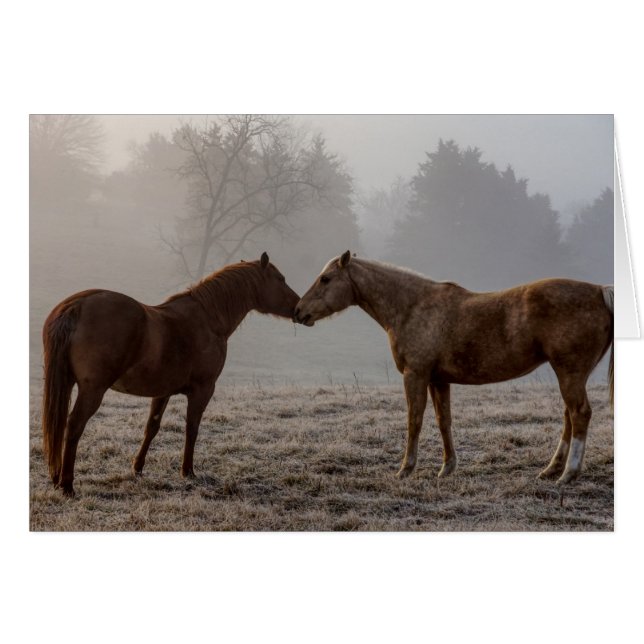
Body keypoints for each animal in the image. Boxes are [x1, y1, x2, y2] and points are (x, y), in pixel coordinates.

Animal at [41, 252, 300, 497]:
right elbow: (192, 429)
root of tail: (77, 306)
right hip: (92, 390)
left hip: (66, 383)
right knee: (74, 425)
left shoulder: (162, 391)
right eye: (280, 279)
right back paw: (67, 485)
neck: (208, 319)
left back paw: (56, 478)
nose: (298, 308)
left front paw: (137, 467)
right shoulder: (203, 390)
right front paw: (188, 471)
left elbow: (152, 427)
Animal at [294, 251, 614, 485]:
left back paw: (568, 474)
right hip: (570, 375)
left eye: (326, 279)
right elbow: (443, 421)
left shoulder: (415, 376)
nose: (298, 312)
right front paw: (447, 467)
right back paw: (551, 469)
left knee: (579, 414)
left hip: (569, 373)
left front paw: (405, 469)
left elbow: (414, 421)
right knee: (569, 416)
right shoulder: (438, 380)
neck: (412, 307)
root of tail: (599, 291)